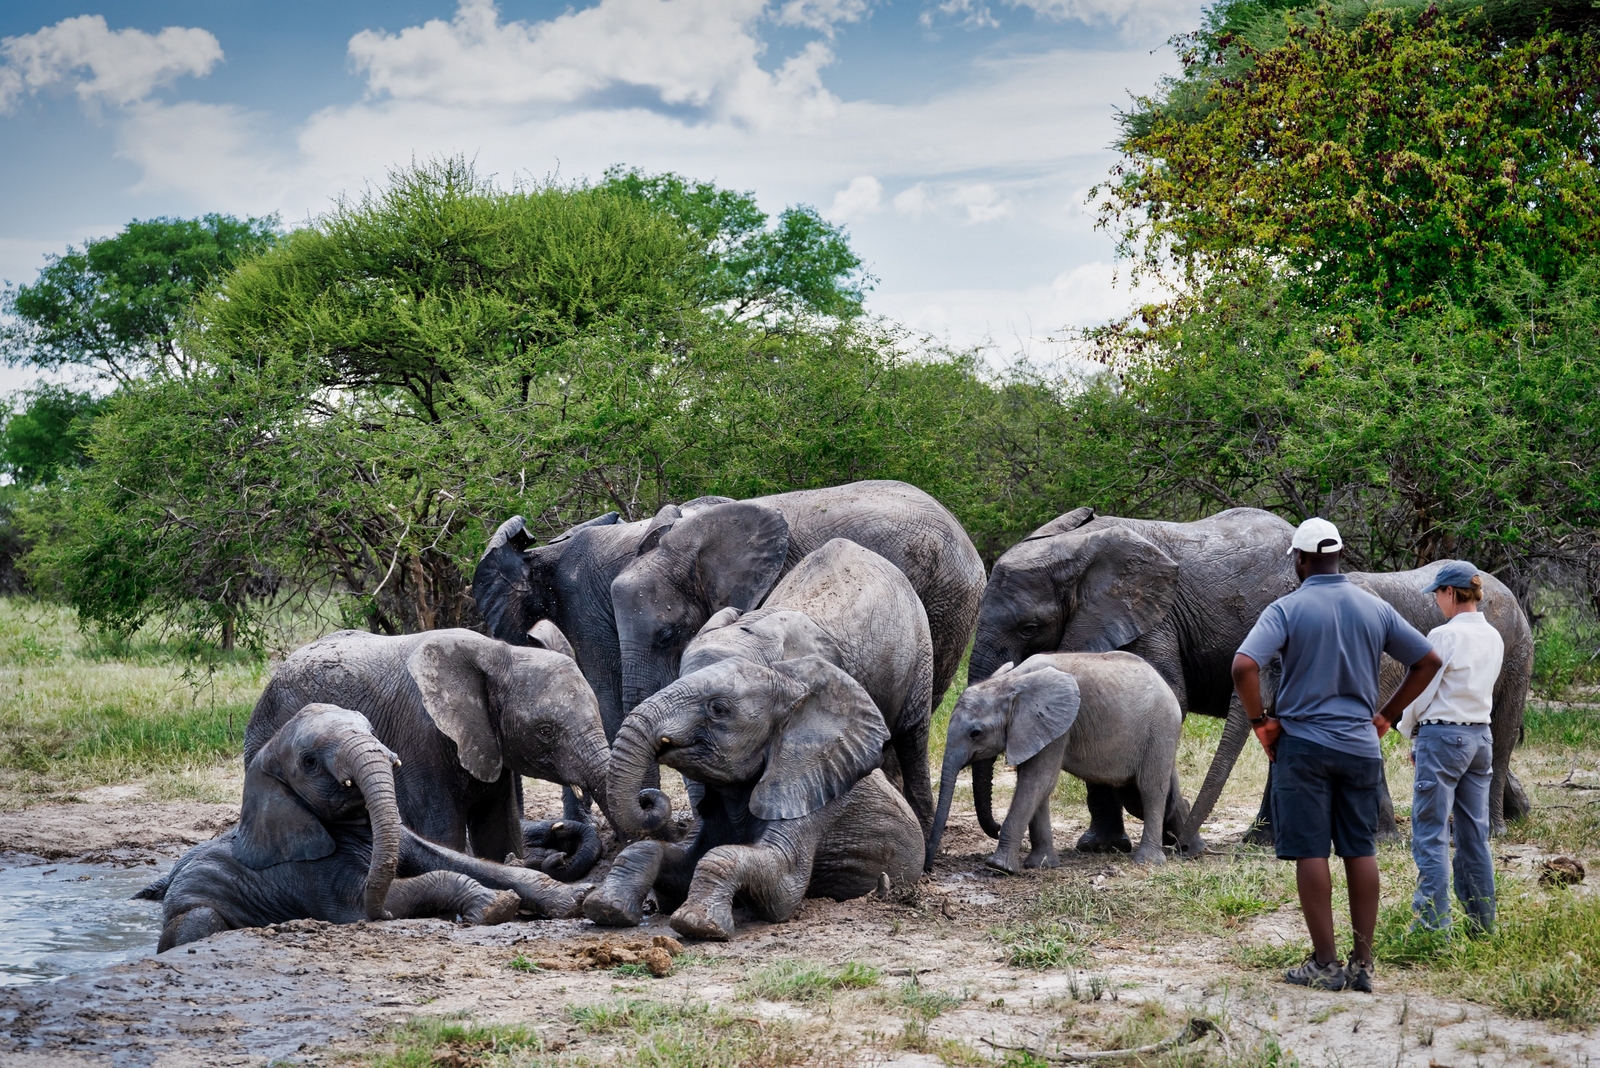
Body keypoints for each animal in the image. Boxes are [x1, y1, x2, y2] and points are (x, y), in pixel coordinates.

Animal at [138, 704, 590, 951]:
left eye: (370, 730)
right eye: (309, 762)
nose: (383, 916)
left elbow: (454, 859)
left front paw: (572, 898)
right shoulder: (308, 873)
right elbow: (372, 897)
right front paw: (496, 906)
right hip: (193, 909)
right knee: (200, 923)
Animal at [245, 627, 614, 878]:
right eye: (545, 731)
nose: (560, 856)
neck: (498, 654)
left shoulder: (489, 744)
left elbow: (498, 830)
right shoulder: (421, 737)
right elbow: (443, 833)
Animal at [581, 655, 924, 941]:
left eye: (718, 709)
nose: (647, 798)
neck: (793, 690)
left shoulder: (812, 798)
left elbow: (779, 886)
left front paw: (697, 925)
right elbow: (671, 860)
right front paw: (605, 909)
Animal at [928, 652, 1199, 871]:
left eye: (976, 733)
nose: (929, 867)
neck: (1012, 681)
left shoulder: (1054, 727)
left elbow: (1037, 781)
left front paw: (999, 867)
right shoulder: (1036, 729)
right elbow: (1037, 786)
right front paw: (1041, 865)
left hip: (1160, 727)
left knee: (1151, 788)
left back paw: (1148, 862)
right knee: (1163, 785)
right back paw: (1191, 851)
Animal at [970, 507, 1534, 851]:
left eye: (1028, 627)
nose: (995, 830)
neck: (1078, 544)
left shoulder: (1153, 617)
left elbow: (1162, 697)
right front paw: (1102, 847)